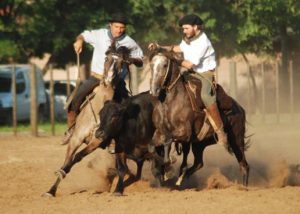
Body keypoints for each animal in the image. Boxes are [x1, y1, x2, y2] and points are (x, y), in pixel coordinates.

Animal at [44, 42, 132, 196]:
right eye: (106, 58)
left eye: (121, 62)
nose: (109, 78)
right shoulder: (76, 138)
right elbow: (68, 159)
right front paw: (51, 190)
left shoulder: (97, 141)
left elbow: (77, 157)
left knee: (122, 168)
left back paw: (118, 190)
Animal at [149, 49, 250, 186]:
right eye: (151, 65)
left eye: (164, 65)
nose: (153, 90)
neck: (170, 102)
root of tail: (240, 108)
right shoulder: (160, 132)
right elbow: (153, 146)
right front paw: (161, 170)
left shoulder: (184, 134)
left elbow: (168, 140)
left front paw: (168, 167)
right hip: (199, 144)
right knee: (199, 163)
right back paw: (182, 176)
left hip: (237, 141)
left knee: (244, 165)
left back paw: (243, 187)